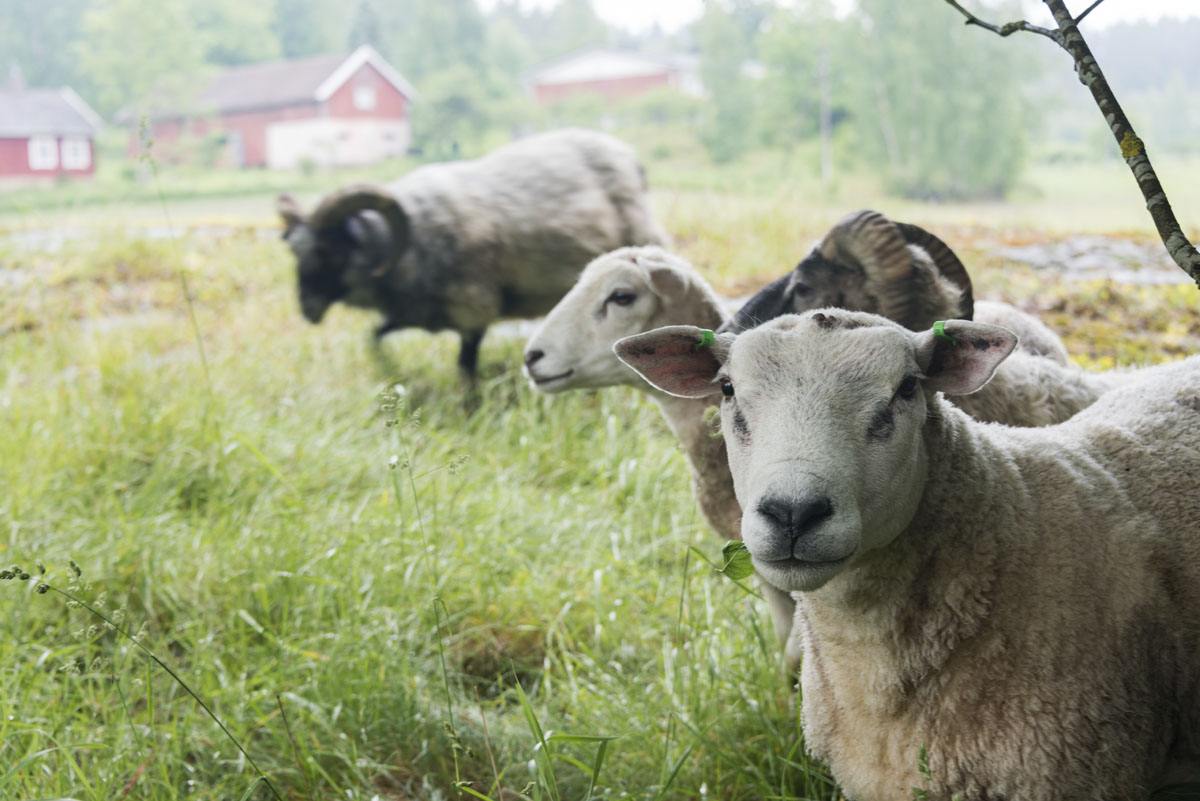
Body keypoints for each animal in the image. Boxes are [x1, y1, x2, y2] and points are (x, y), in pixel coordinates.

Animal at [277, 128, 667, 379]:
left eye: (329, 250)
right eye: (295, 251)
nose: (307, 309)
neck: (403, 245)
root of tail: (631, 158)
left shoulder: (474, 309)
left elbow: (465, 367)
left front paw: (469, 409)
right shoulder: (415, 312)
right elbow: (375, 337)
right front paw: (391, 374)